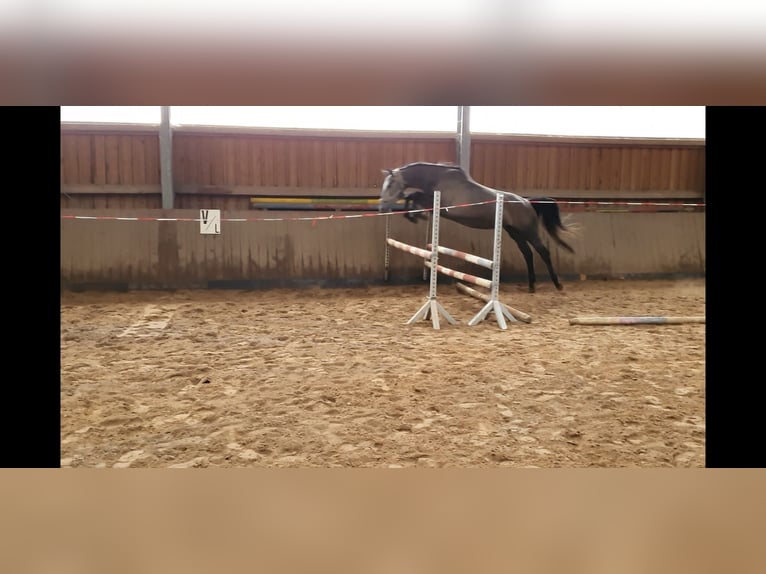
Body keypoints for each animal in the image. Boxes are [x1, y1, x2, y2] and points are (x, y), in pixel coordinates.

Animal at [380, 164, 572, 294]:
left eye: (389, 185)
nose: (381, 208)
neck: (439, 179)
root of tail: (527, 202)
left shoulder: (442, 206)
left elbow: (415, 197)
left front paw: (415, 216)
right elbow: (414, 197)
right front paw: (414, 215)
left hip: (529, 232)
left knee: (543, 252)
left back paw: (557, 284)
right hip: (514, 232)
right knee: (528, 254)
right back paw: (531, 286)